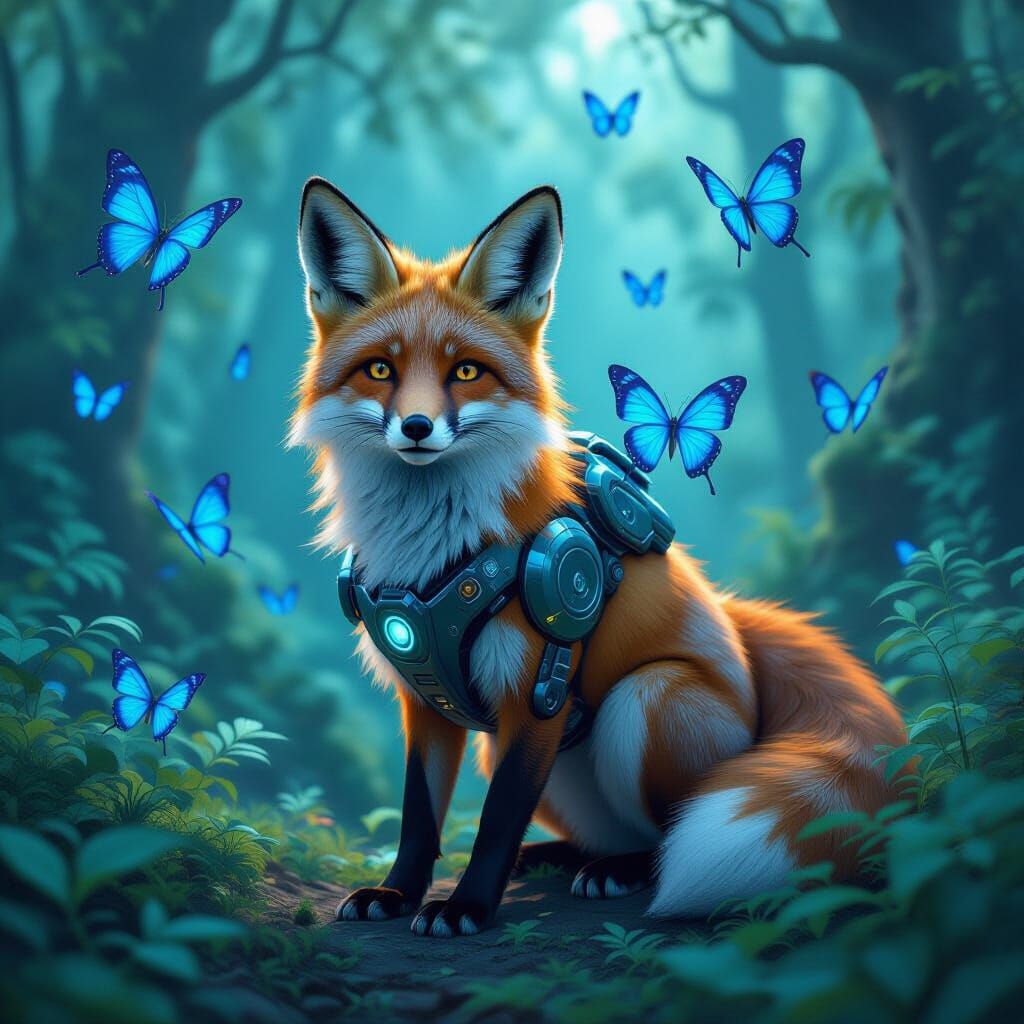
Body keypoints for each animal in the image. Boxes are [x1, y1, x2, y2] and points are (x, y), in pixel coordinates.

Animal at [288, 178, 906, 938]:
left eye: (466, 371)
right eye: (381, 369)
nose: (417, 427)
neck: (432, 553)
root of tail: (740, 636)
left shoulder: (534, 696)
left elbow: (495, 821)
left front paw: (466, 906)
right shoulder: (424, 699)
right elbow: (419, 816)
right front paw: (397, 893)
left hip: (646, 700)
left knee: (664, 833)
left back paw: (621, 872)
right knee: (600, 833)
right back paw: (558, 857)